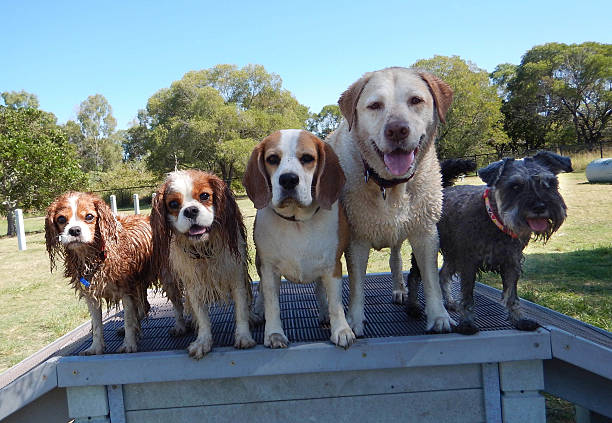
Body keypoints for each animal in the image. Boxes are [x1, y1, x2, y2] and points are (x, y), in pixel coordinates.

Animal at [44, 66, 572, 358]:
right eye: (273, 160)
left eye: (308, 158)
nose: (288, 181)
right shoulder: (265, 274)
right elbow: (259, 308)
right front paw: (262, 335)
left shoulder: (350, 259)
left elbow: (347, 299)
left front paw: (346, 328)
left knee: (393, 267)